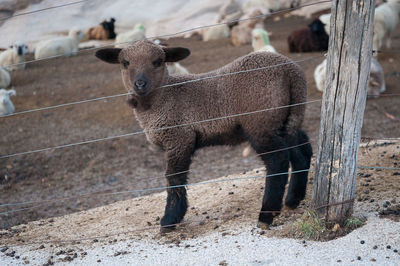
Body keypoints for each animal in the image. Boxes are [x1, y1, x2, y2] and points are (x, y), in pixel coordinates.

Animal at [96, 40, 312, 233]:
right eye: (125, 63)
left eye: (158, 61)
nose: (140, 84)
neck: (163, 97)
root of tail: (291, 71)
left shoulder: (178, 138)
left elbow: (174, 178)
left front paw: (169, 219)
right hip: (287, 117)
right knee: (302, 150)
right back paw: (293, 199)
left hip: (260, 122)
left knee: (278, 160)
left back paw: (266, 215)